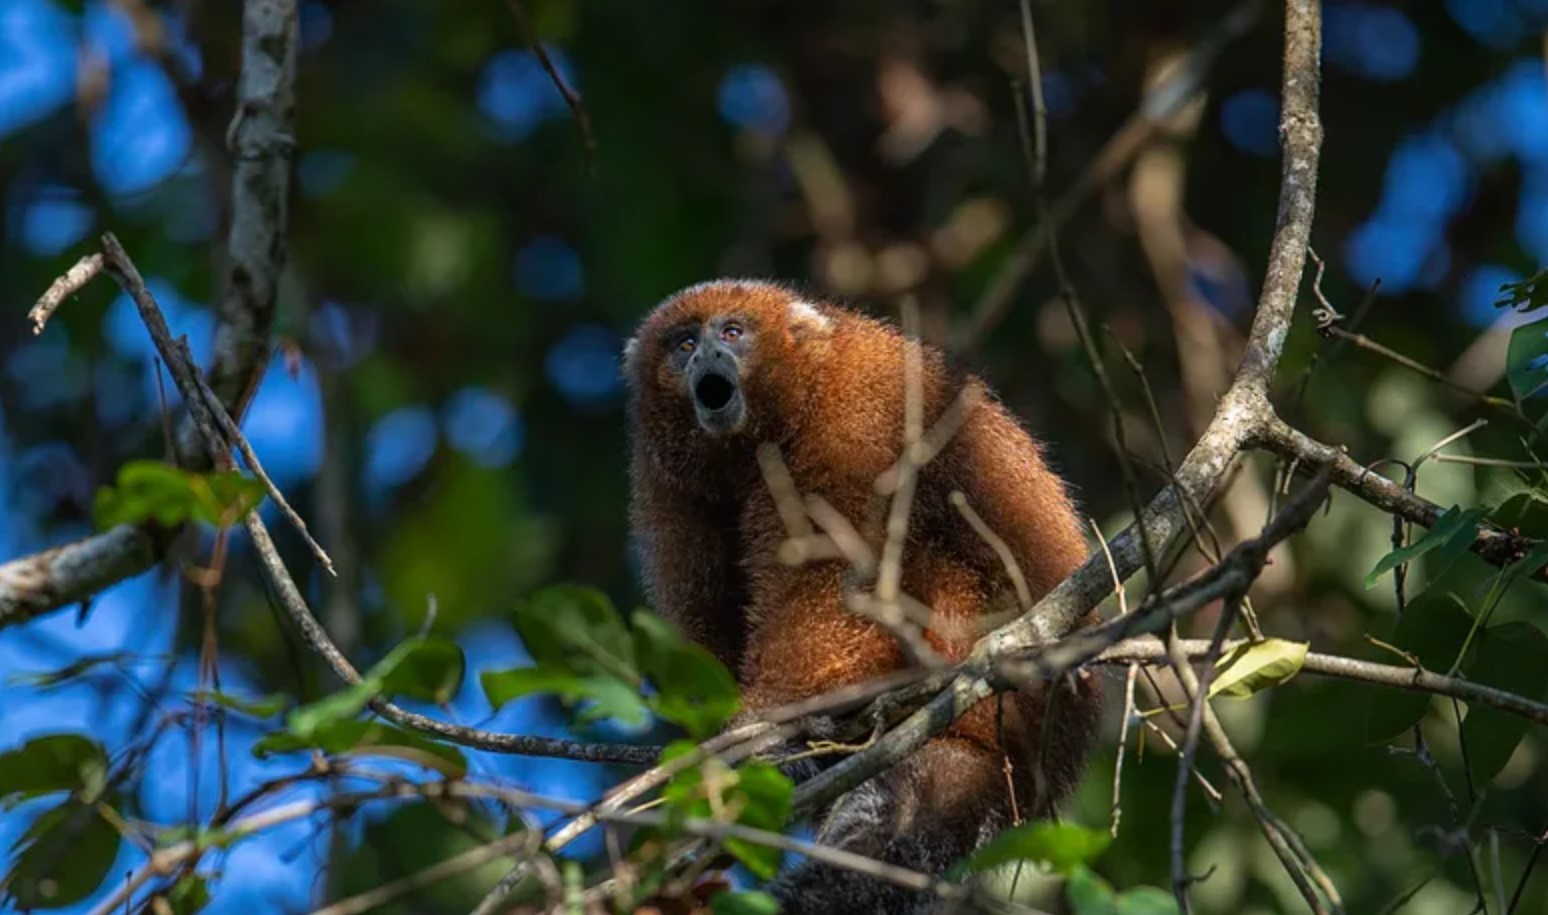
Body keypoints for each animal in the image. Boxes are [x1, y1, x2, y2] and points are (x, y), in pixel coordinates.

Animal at [623, 279, 1101, 914]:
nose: (707, 358)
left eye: (732, 332)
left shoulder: (851, 420)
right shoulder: (667, 484)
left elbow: (840, 581)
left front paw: (769, 719)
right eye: (683, 344)